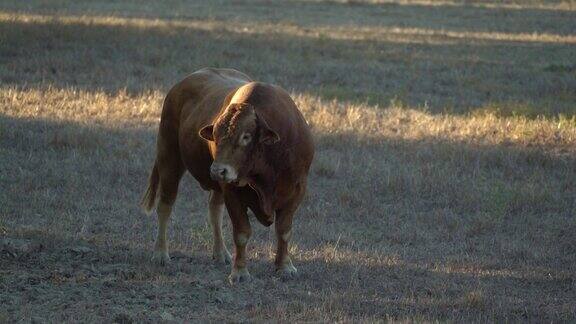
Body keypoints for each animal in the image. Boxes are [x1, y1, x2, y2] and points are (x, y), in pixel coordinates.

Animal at [142, 68, 316, 284]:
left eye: (246, 136)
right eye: (215, 136)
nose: (217, 170)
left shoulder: (296, 191)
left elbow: (284, 230)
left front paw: (284, 266)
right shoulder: (232, 192)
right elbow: (242, 232)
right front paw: (240, 271)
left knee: (214, 209)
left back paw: (220, 253)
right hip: (169, 158)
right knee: (165, 206)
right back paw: (160, 253)